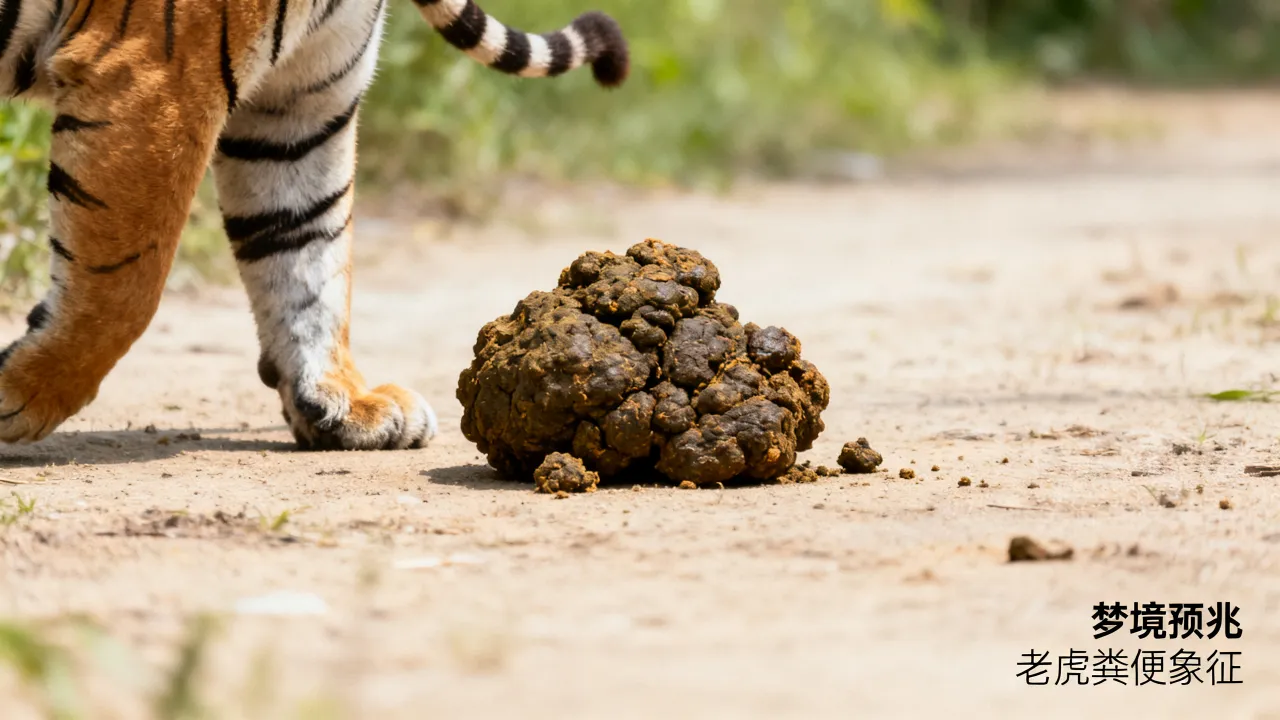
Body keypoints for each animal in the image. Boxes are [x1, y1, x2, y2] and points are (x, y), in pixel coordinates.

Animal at [0, 0, 628, 449]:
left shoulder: (300, 109)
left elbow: (307, 254)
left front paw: (339, 401)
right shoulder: (156, 76)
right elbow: (125, 285)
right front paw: (20, 395)